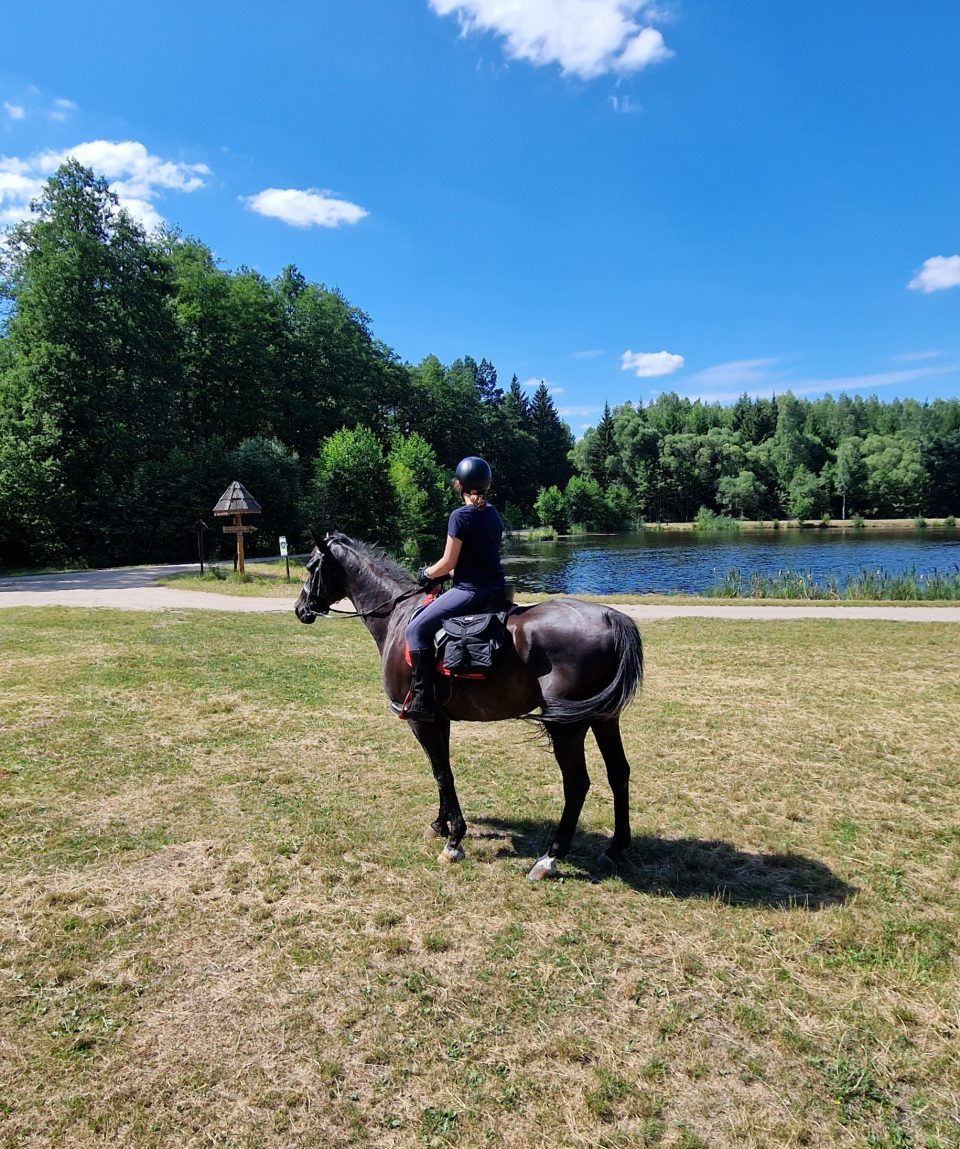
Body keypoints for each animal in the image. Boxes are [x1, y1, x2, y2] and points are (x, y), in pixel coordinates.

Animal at [296, 530, 643, 877]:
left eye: (312, 567)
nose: (301, 609)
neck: (399, 615)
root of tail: (610, 617)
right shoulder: (438, 719)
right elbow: (441, 769)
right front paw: (440, 825)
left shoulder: (419, 719)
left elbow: (442, 773)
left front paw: (454, 841)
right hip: (604, 719)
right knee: (618, 773)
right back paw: (615, 847)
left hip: (567, 728)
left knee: (577, 783)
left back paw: (550, 858)